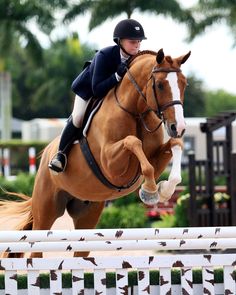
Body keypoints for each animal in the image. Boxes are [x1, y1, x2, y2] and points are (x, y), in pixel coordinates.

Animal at [0, 48, 191, 256]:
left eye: (184, 84)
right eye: (160, 85)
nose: (178, 127)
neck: (135, 111)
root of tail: (45, 157)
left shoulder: (154, 158)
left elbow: (175, 145)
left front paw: (164, 190)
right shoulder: (111, 163)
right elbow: (133, 142)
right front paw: (149, 191)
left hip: (87, 214)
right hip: (46, 209)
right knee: (37, 245)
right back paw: (57, 161)